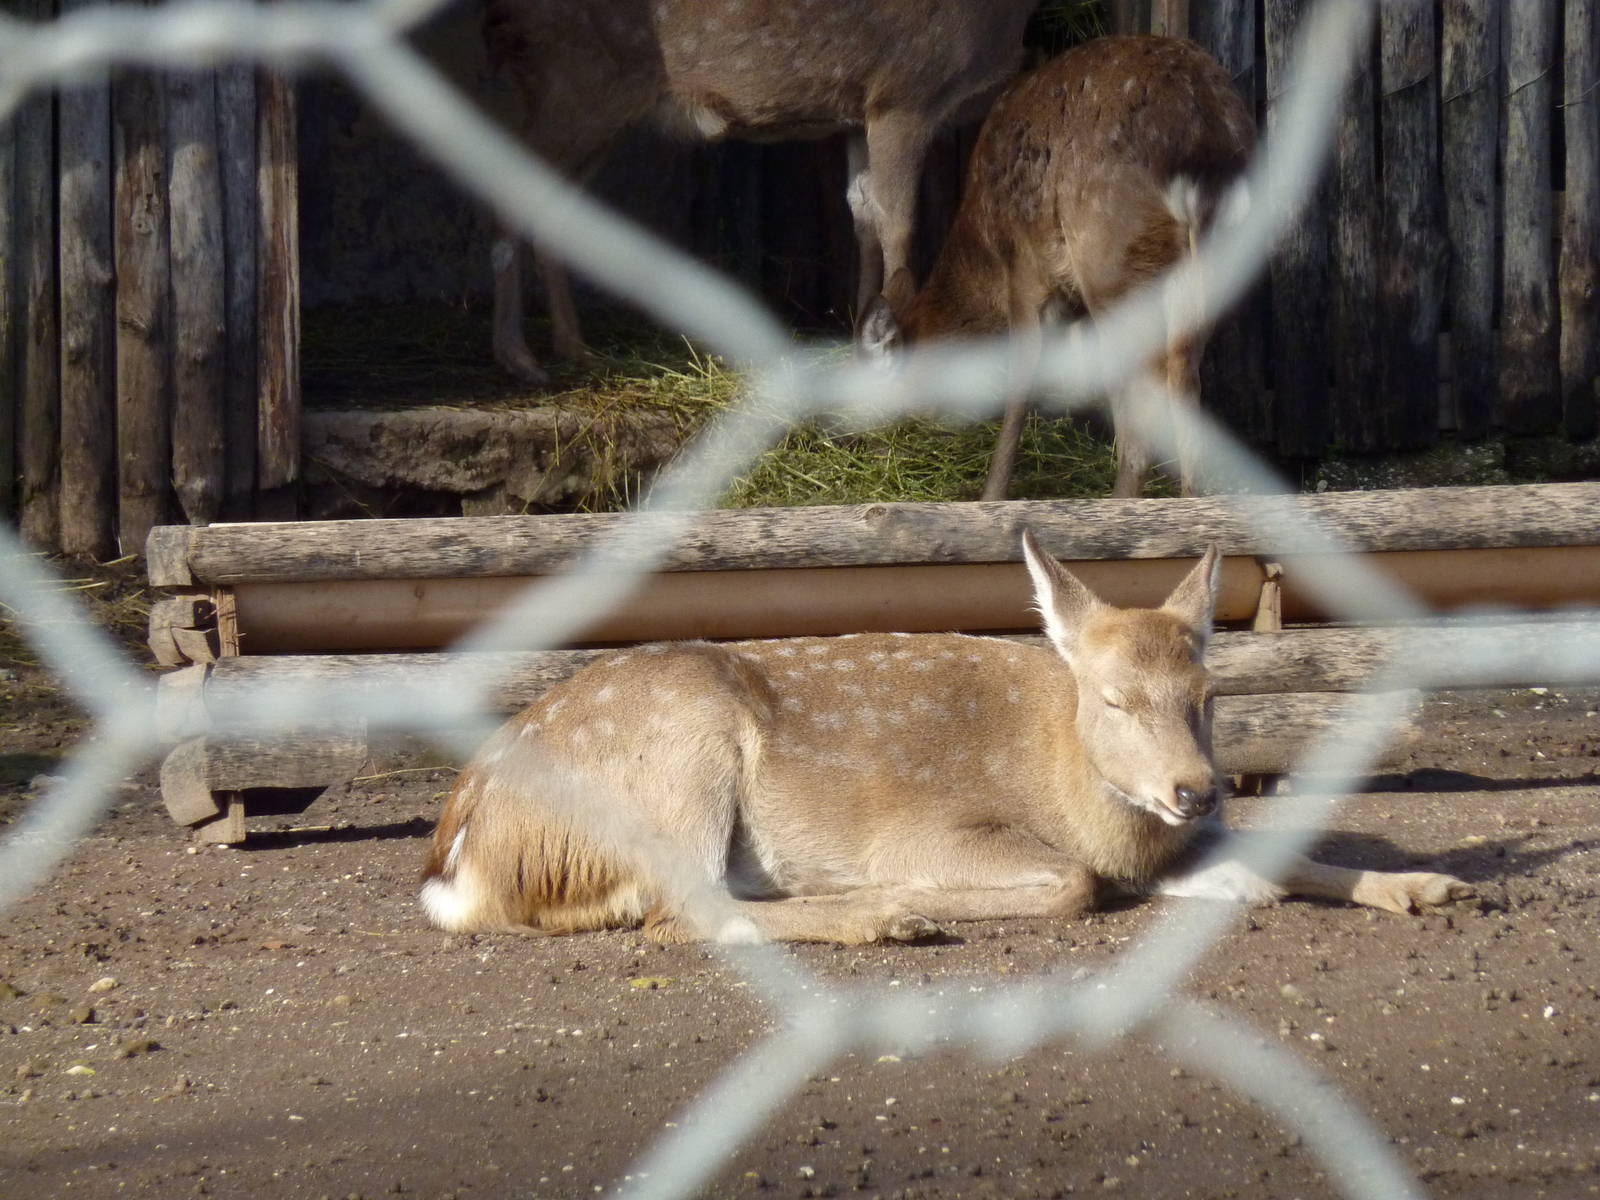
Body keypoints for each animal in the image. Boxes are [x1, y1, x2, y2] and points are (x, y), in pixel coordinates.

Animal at [419, 533, 1473, 944]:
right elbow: (1072, 882)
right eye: (1112, 699)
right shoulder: (934, 827)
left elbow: (1281, 858)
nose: (1194, 790)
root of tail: (462, 855)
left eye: (1209, 694)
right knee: (684, 911)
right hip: (682, 757)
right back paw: (883, 915)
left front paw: (1425, 885)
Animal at [481, 0, 1043, 386]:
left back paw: (574, 348)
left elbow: (862, 215)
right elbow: (900, 224)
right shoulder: (904, 95)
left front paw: (862, 337)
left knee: (552, 207)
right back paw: (519, 358)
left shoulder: (855, 113)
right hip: (574, 82)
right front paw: (891, 345)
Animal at [858, 35, 1256, 501]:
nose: (857, 441)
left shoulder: (1026, 267)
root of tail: (1201, 137)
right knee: (1185, 383)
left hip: (1107, 255)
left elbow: (1022, 378)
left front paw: (991, 496)